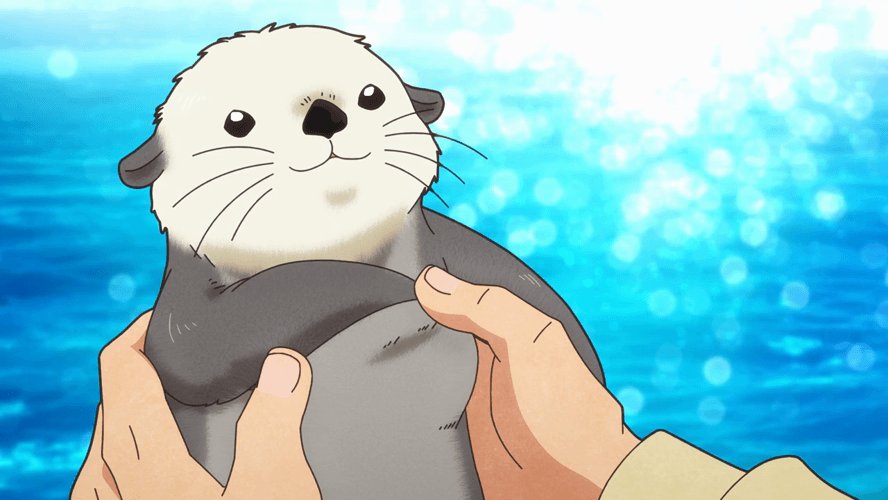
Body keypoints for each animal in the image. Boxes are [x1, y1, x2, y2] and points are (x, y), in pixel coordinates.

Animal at [119, 23, 605, 499]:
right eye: (236, 122)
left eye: (371, 95)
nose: (324, 115)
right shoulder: (185, 316)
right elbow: (198, 352)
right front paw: (394, 286)